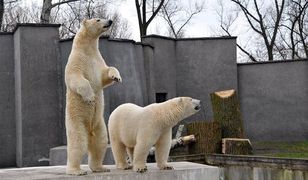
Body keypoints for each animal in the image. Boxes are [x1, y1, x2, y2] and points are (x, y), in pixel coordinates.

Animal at [64, 17, 121, 175]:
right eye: (97, 19)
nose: (110, 21)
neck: (87, 49)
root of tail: (89, 130)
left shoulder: (97, 60)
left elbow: (105, 74)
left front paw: (117, 77)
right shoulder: (76, 60)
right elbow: (75, 77)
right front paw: (90, 97)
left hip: (99, 124)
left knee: (100, 143)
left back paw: (100, 167)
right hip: (76, 121)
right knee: (78, 143)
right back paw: (76, 170)